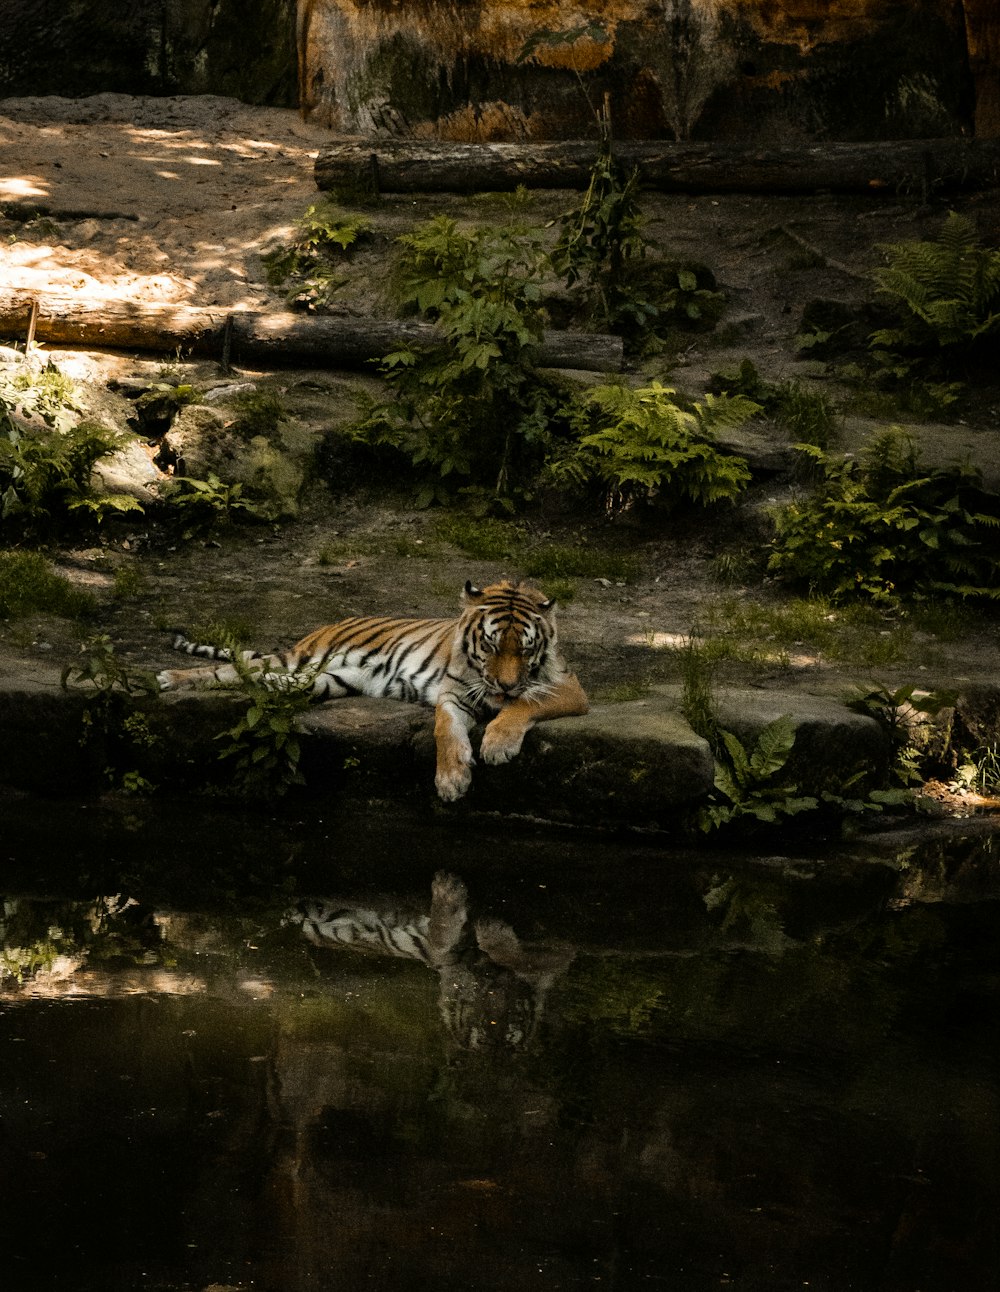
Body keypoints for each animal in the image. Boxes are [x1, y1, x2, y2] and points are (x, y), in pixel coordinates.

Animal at [158, 583, 586, 801]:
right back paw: (170, 679)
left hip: (320, 679)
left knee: (254, 678)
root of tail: (327, 625)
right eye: (492, 645)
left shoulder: (569, 687)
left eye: (525, 650)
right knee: (229, 668)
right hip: (298, 662)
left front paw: (496, 744)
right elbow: (445, 731)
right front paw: (451, 779)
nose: (504, 685)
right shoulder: (453, 695)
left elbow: (525, 703)